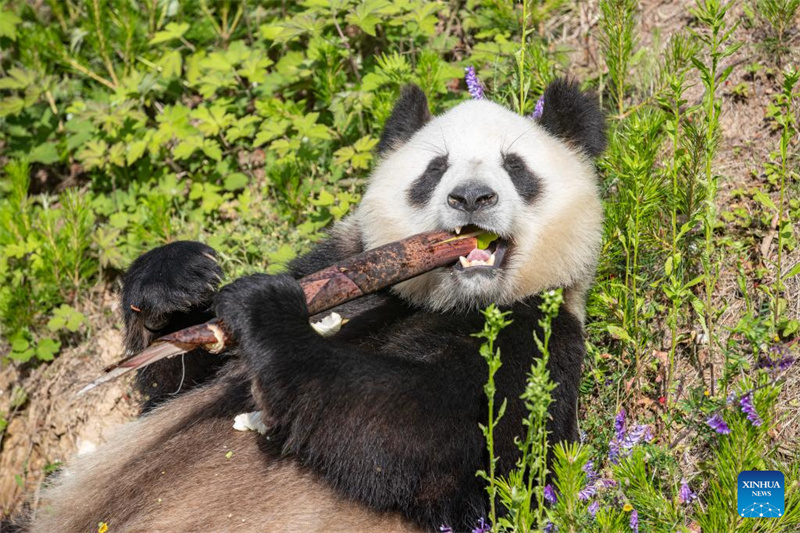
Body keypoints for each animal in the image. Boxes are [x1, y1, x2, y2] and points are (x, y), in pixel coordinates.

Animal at [26, 79, 605, 533]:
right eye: (434, 170)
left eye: (516, 167)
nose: (471, 198)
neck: (449, 302)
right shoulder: (340, 262)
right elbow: (174, 385)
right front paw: (179, 280)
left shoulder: (536, 338)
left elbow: (416, 432)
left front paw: (264, 309)